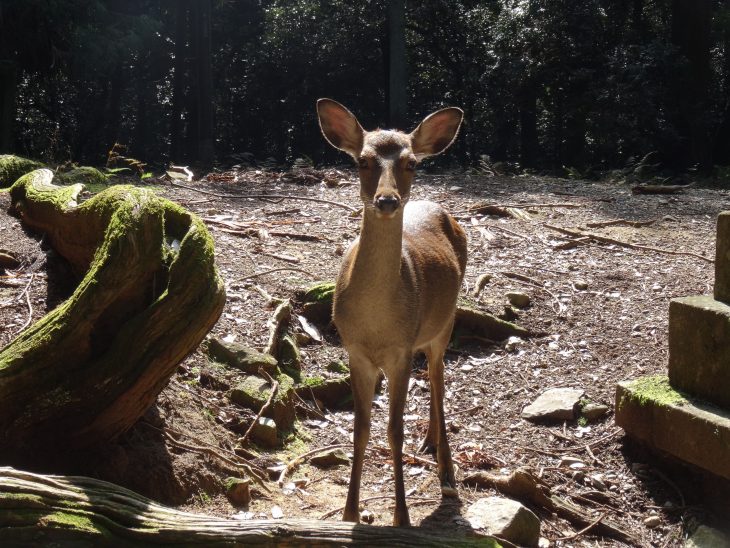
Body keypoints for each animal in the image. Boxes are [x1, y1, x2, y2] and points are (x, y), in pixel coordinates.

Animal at [314, 98, 464, 528]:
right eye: (362, 160)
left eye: (411, 163)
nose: (386, 200)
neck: (377, 324)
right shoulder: (355, 350)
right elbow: (361, 427)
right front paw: (349, 512)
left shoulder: (400, 351)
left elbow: (394, 430)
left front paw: (402, 517)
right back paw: (430, 442)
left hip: (445, 322)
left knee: (439, 378)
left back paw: (446, 467)